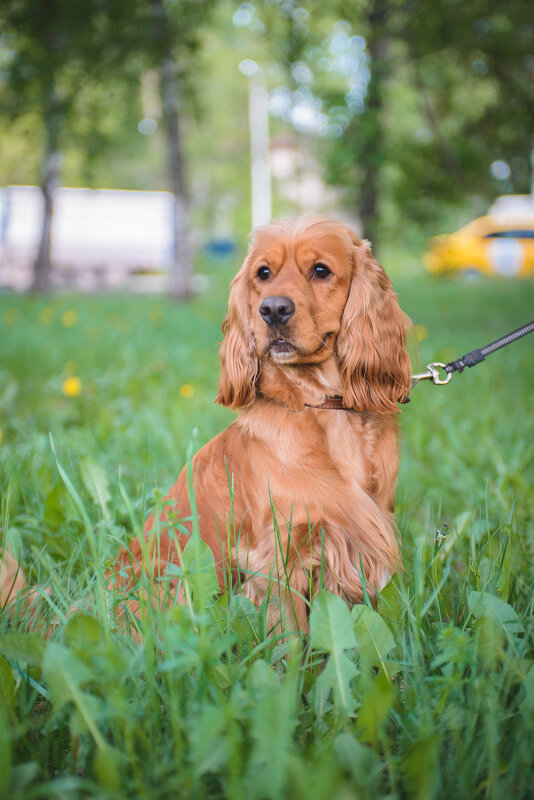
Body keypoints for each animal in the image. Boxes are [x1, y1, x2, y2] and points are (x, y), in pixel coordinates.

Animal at [111, 217, 414, 632]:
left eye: (321, 270)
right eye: (263, 273)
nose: (272, 309)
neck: (323, 405)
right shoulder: (279, 556)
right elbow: (291, 637)